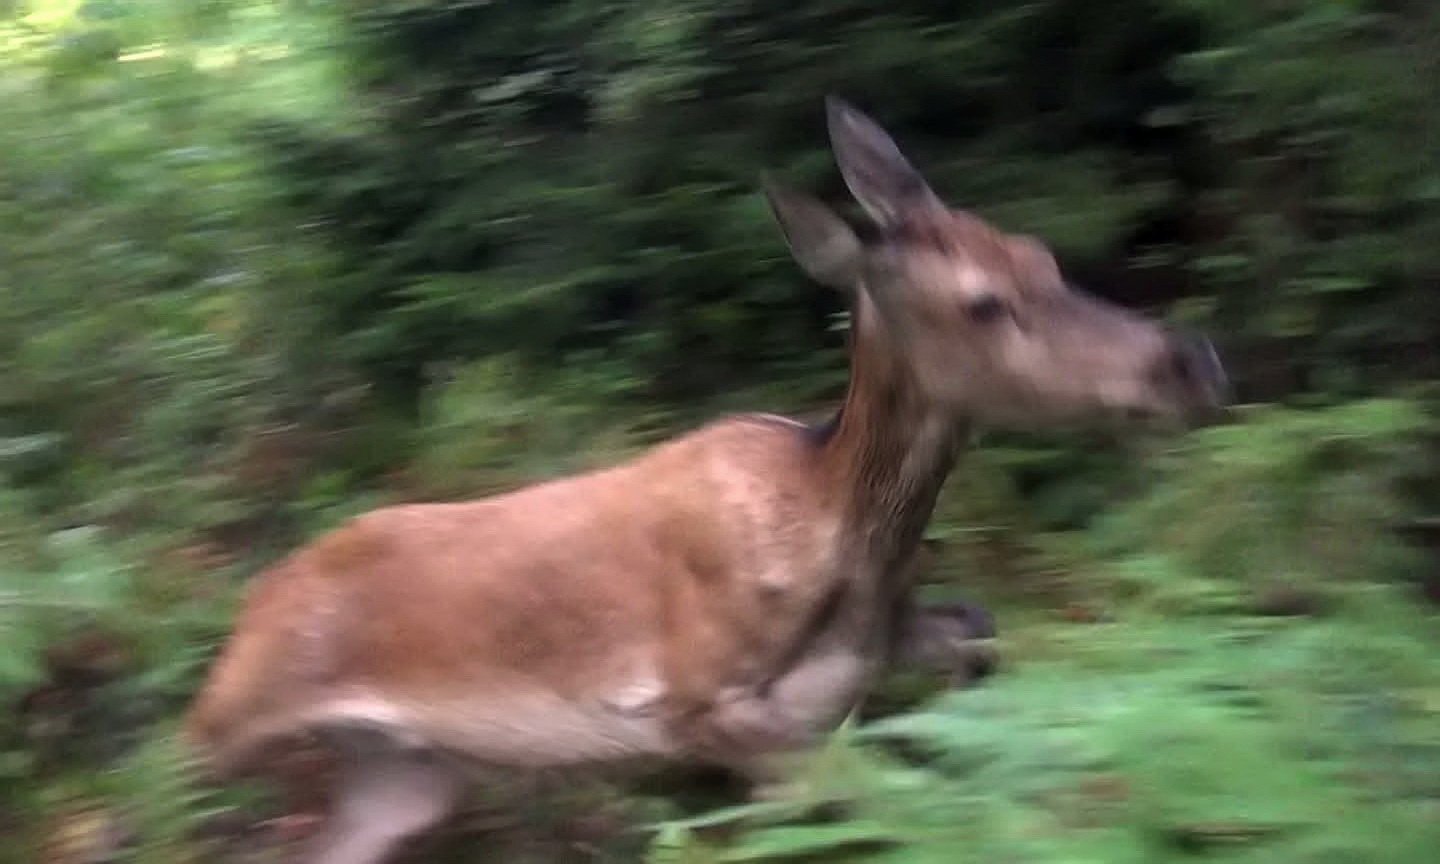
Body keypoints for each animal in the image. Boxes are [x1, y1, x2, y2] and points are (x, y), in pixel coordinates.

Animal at [182, 97, 1226, 864]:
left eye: (1040, 254)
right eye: (983, 302)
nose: (1196, 361)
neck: (844, 543)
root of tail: (245, 614)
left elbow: (978, 643)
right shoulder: (692, 704)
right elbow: (912, 808)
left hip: (406, 772)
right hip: (232, 741)